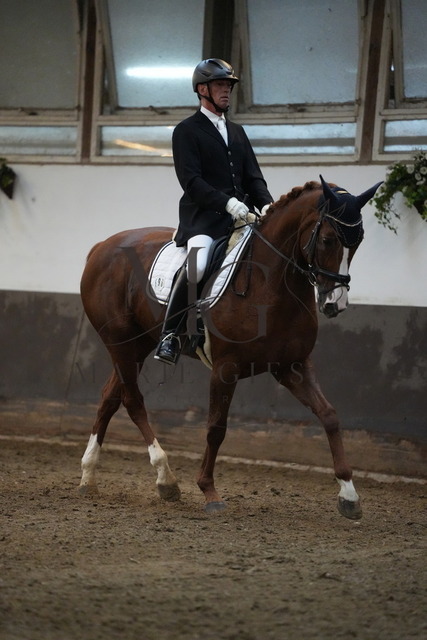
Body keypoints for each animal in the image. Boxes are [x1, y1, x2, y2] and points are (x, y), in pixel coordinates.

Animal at [79, 176, 381, 519]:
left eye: (357, 242)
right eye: (329, 239)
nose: (335, 304)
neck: (273, 284)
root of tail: (102, 247)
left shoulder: (292, 366)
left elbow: (329, 415)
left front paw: (349, 495)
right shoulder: (226, 368)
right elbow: (216, 427)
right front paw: (209, 491)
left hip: (136, 346)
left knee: (110, 397)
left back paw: (89, 476)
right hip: (120, 342)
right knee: (132, 400)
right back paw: (166, 478)